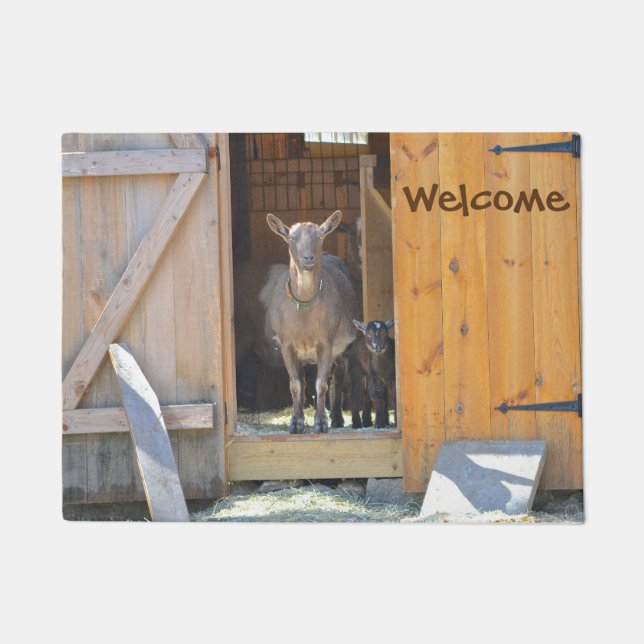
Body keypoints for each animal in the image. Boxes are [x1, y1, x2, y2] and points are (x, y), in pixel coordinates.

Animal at [264, 210, 359, 433]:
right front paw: (296, 423)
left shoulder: (326, 341)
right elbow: (296, 384)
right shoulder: (286, 344)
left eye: (320, 235)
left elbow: (321, 383)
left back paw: (336, 418)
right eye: (292, 237)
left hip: (343, 348)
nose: (308, 258)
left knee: (338, 378)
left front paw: (321, 423)